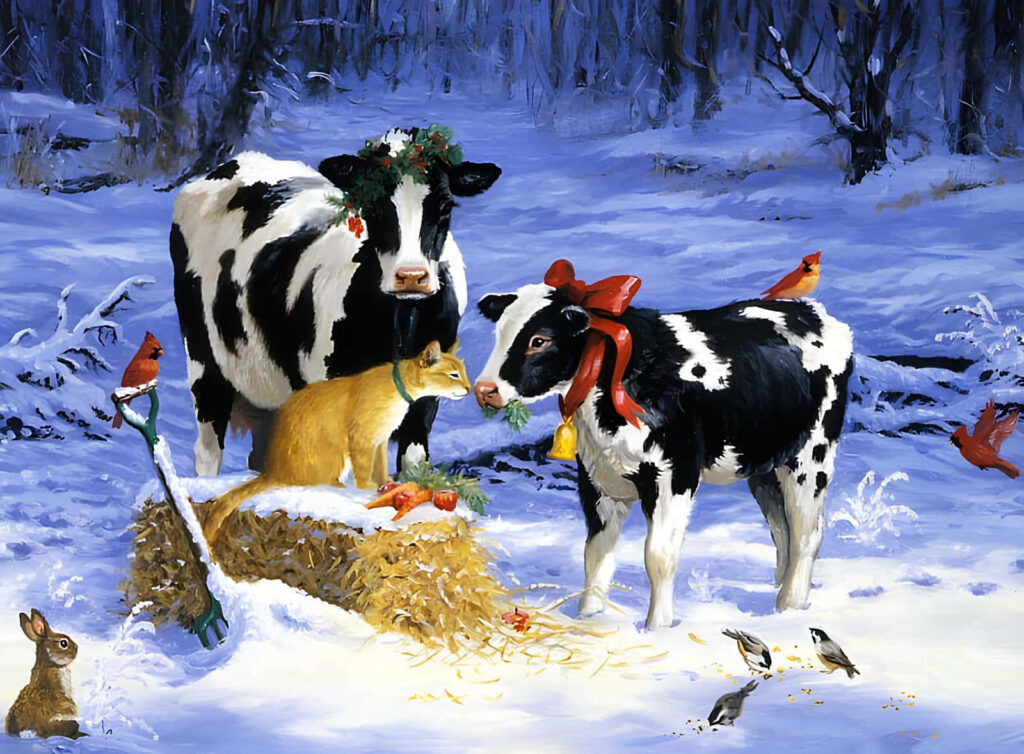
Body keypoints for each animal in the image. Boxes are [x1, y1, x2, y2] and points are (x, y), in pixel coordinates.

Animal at [170, 127, 501, 476]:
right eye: (373, 207)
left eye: (445, 208)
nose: (411, 276)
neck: (399, 323)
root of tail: (234, 163)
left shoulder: (422, 408)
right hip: (204, 362)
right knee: (208, 449)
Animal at [474, 261, 853, 629]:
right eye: (498, 333)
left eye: (539, 340)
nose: (484, 390)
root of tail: (813, 313)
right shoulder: (596, 479)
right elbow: (596, 555)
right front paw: (589, 619)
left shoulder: (672, 475)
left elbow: (658, 557)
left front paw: (657, 627)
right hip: (764, 465)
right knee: (782, 530)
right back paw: (778, 595)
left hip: (810, 458)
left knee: (807, 533)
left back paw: (790, 606)